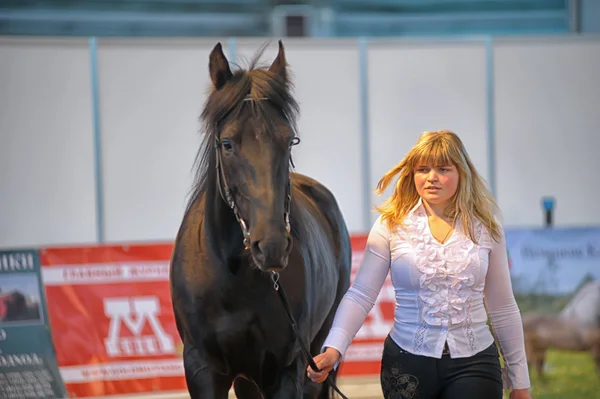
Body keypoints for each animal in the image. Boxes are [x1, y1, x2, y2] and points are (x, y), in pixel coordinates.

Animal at [170, 41, 352, 399]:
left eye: (290, 140)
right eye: (227, 144)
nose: (271, 247)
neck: (233, 276)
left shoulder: (286, 370)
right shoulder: (202, 369)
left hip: (319, 359)